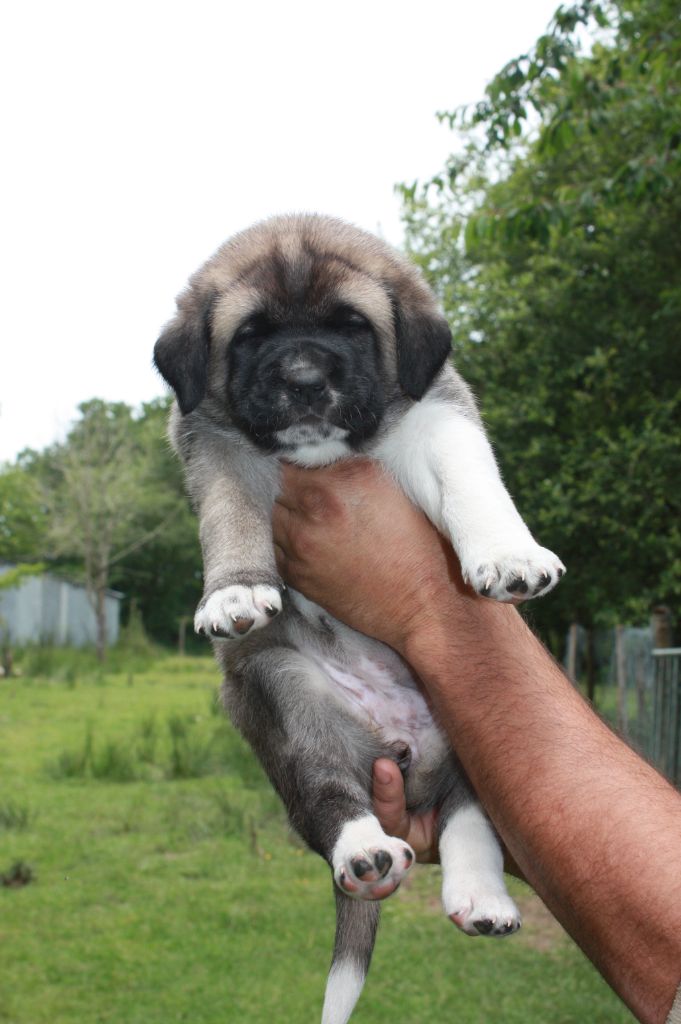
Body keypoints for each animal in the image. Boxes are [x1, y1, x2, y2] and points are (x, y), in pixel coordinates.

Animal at [153, 211, 561, 1019]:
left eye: (351, 326)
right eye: (250, 335)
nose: (305, 382)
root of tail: (398, 744)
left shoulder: (437, 413)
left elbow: (473, 478)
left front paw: (508, 552)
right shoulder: (213, 440)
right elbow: (229, 511)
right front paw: (235, 590)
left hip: (470, 723)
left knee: (470, 815)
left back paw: (482, 898)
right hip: (286, 697)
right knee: (328, 798)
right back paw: (365, 852)